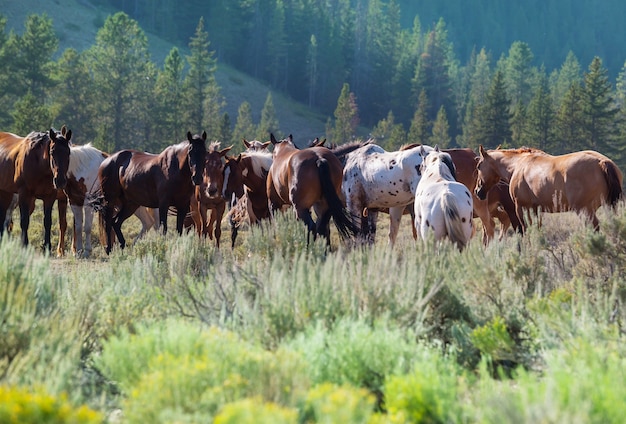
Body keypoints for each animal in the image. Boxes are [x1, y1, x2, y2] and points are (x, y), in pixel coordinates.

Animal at [478, 146, 620, 232]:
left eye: (479, 165)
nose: (477, 191)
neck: (518, 165)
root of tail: (602, 162)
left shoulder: (521, 207)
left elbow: (525, 230)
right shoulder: (536, 209)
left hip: (585, 210)